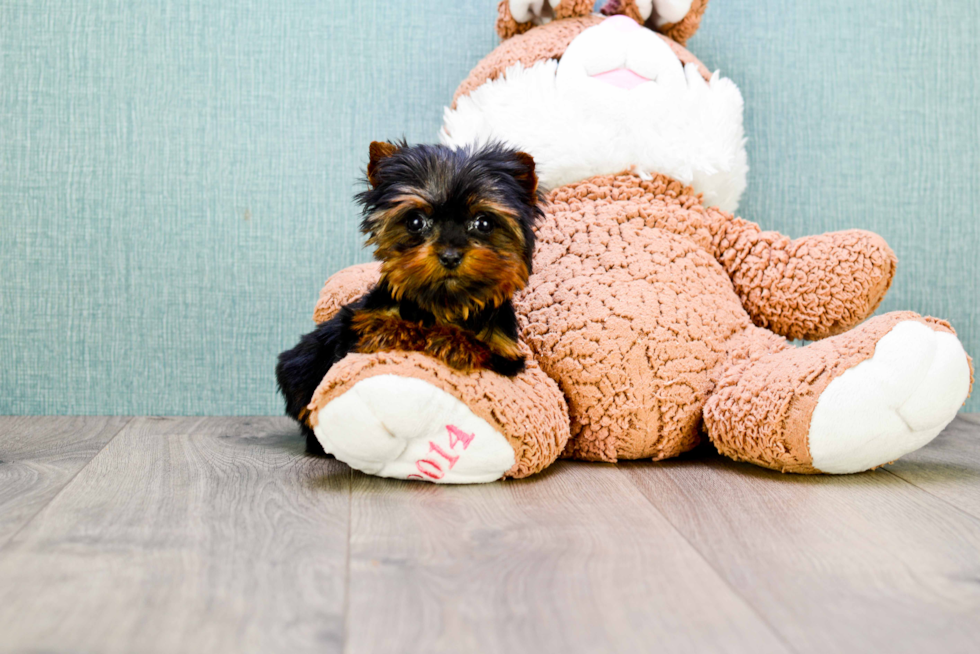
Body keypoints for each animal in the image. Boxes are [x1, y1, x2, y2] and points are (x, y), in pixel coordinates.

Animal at [276, 142, 540, 452]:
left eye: (483, 223)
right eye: (415, 222)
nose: (450, 255)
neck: (445, 303)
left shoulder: (505, 351)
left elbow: (484, 348)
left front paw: (453, 341)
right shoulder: (358, 322)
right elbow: (375, 326)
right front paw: (402, 330)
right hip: (304, 361)